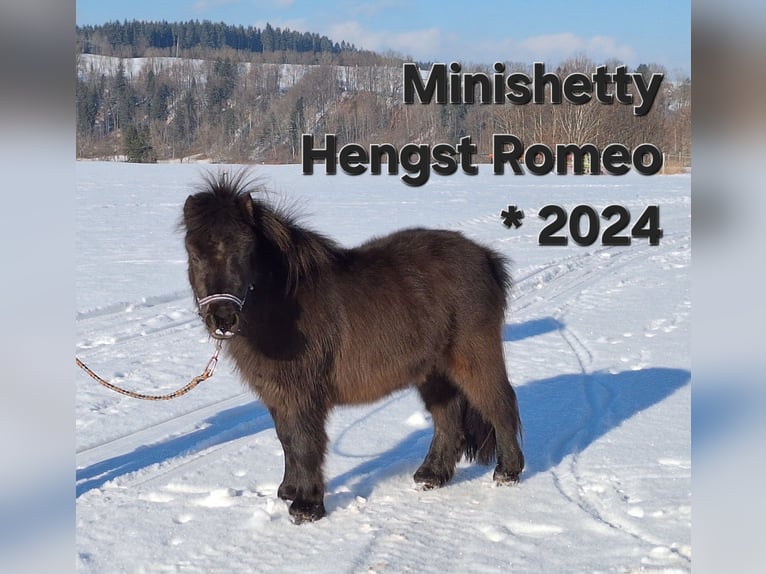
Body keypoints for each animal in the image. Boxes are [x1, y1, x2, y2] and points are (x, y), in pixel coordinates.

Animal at [181, 170, 524, 523]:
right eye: (194, 254)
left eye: (244, 252)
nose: (223, 318)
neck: (284, 305)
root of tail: (485, 256)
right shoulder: (279, 396)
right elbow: (287, 440)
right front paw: (288, 491)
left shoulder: (303, 395)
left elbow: (305, 443)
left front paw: (307, 506)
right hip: (434, 372)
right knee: (448, 418)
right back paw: (431, 475)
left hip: (475, 356)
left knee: (500, 404)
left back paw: (507, 472)